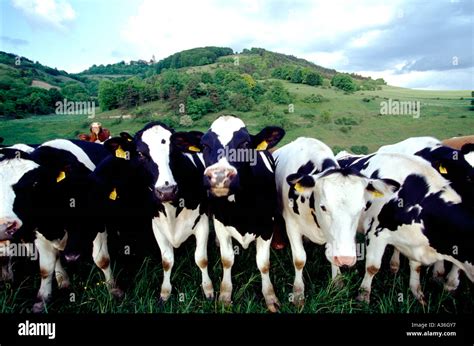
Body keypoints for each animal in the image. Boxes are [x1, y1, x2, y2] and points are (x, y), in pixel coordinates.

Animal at [0, 139, 122, 312]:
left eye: (35, 183)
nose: (5, 227)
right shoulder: (39, 233)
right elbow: (46, 268)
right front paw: (42, 300)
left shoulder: (97, 223)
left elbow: (102, 259)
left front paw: (113, 290)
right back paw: (62, 280)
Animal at [175, 115, 286, 312]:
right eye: (204, 145)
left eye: (245, 143)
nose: (219, 176)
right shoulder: (221, 225)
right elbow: (227, 260)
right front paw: (225, 295)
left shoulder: (266, 227)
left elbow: (263, 264)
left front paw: (270, 297)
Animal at [274, 138, 400, 306]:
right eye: (323, 207)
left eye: (362, 208)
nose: (346, 259)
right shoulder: (291, 225)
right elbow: (300, 260)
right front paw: (298, 293)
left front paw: (338, 282)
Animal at [348, 153, 474, 304]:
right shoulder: (376, 233)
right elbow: (373, 267)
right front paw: (363, 296)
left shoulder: (415, 243)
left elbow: (416, 268)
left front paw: (418, 294)